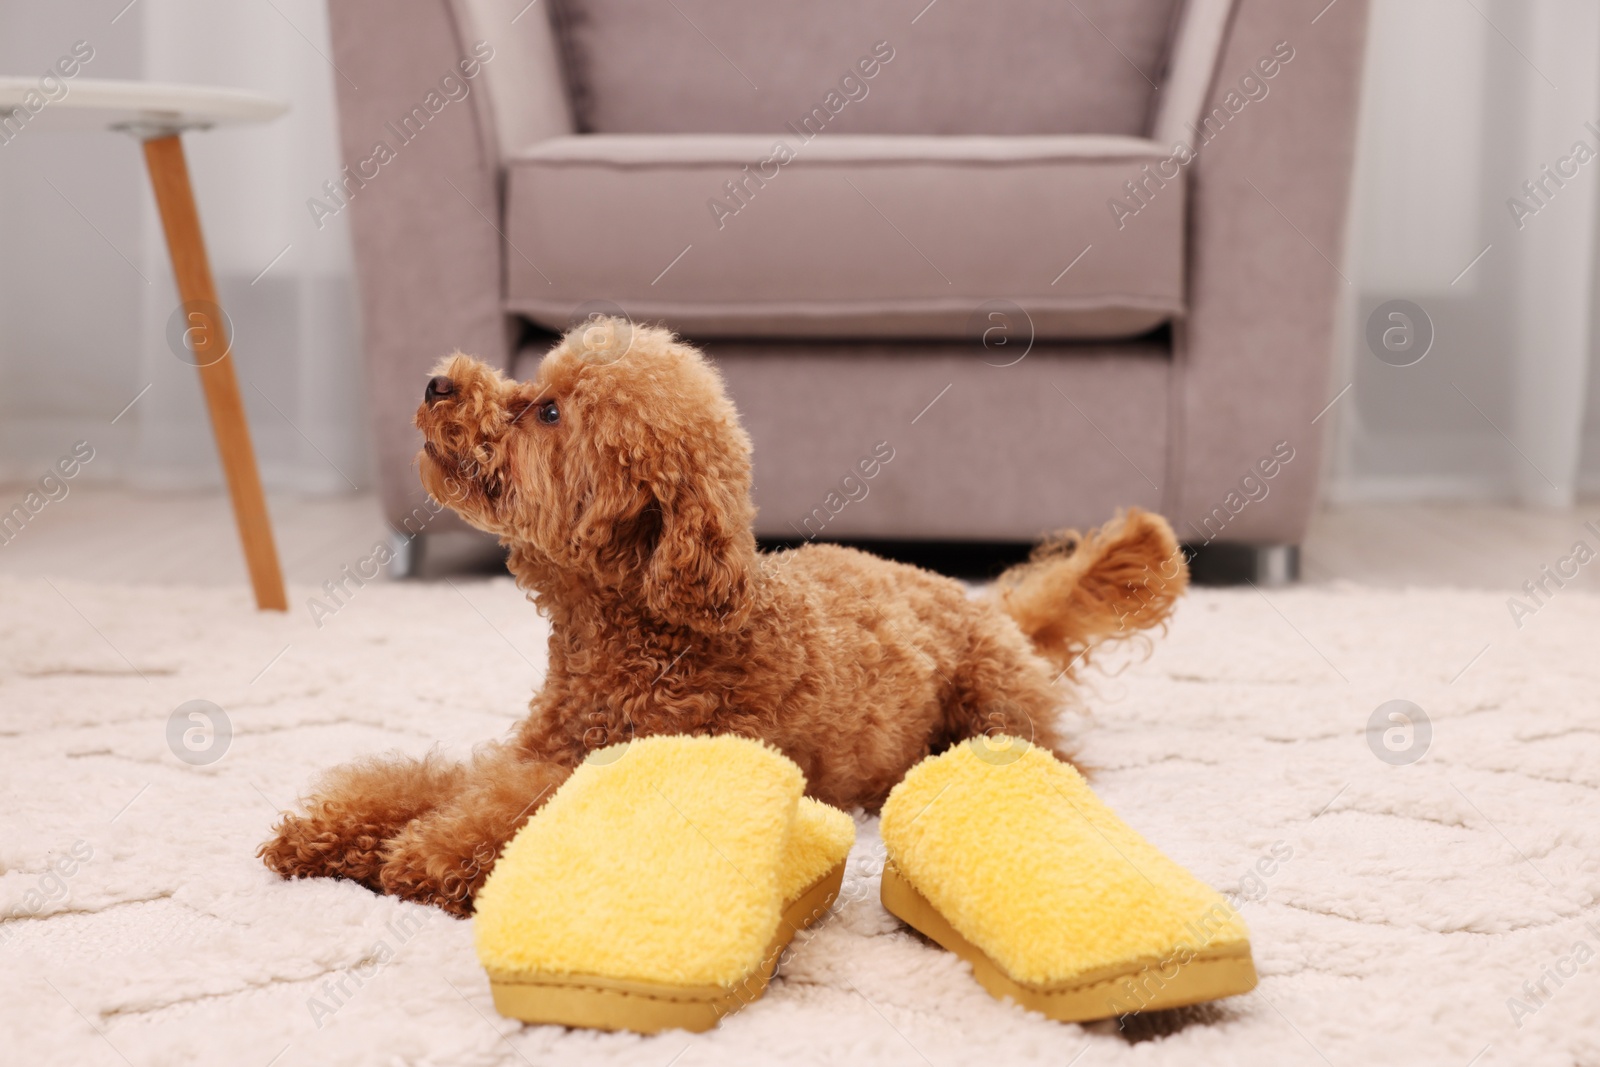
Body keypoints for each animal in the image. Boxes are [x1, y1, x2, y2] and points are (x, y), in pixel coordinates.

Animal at [259, 319, 1190, 921]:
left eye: (549, 411)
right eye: (533, 383)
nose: (437, 382)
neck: (640, 630)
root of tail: (986, 606)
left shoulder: (628, 769)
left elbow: (507, 813)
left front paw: (424, 855)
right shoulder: (531, 750)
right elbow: (433, 781)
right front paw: (323, 834)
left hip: (994, 708)